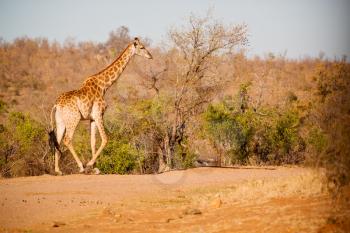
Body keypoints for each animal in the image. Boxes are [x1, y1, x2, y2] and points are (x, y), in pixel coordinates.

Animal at [48, 37, 152, 174]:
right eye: (142, 47)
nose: (150, 56)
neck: (104, 86)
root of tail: (56, 105)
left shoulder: (92, 118)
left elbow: (93, 141)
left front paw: (94, 168)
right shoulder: (99, 114)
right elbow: (105, 139)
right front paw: (90, 165)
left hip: (61, 121)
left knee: (58, 140)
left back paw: (58, 170)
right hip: (74, 118)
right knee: (67, 139)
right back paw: (81, 167)